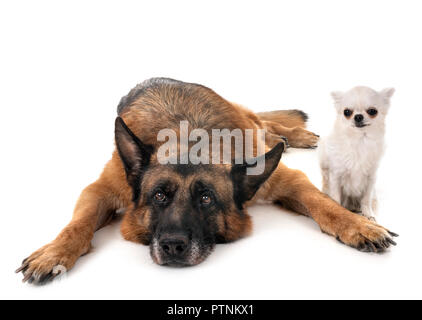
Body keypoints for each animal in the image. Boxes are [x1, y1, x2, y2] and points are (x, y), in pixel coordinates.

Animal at [15, 79, 398, 284]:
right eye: (159, 196)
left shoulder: (287, 178)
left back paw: (294, 135)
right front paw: (54, 252)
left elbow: (324, 203)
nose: (172, 246)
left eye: (206, 199)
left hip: (250, 124)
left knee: (264, 123)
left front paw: (358, 225)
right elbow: (77, 224)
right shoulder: (101, 190)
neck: (188, 138)